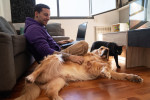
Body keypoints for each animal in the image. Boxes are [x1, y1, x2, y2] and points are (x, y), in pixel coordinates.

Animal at [14, 46, 142, 100]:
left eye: (108, 49)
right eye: (101, 48)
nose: (106, 50)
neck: (99, 57)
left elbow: (123, 75)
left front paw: (135, 77)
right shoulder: (89, 64)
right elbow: (103, 66)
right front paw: (105, 71)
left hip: (59, 81)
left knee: (51, 94)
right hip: (54, 58)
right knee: (37, 71)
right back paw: (30, 77)